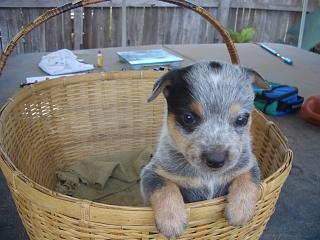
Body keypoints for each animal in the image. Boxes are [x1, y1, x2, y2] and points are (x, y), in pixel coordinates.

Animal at [140, 60, 268, 238]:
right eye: (188, 118)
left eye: (242, 119)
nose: (216, 160)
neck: (208, 177)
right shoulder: (152, 171)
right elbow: (164, 186)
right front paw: (172, 220)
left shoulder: (248, 165)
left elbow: (247, 180)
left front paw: (240, 211)